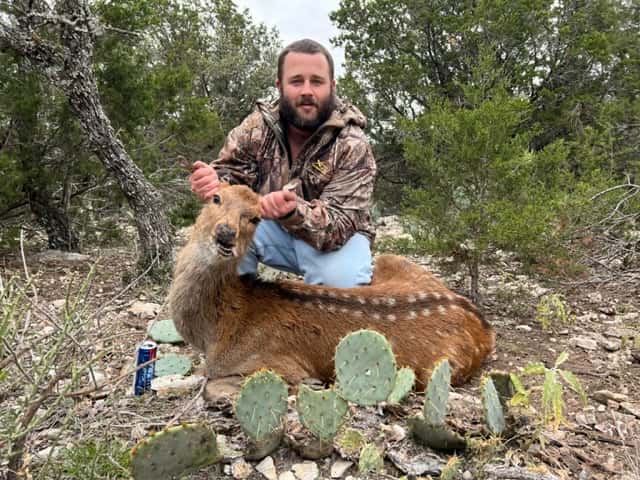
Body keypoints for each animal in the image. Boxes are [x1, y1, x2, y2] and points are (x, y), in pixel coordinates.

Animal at [168, 183, 495, 402]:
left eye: (255, 218)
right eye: (216, 197)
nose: (225, 234)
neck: (216, 331)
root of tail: (484, 326)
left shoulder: (277, 363)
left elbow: (212, 386)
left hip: (443, 368)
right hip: (392, 259)